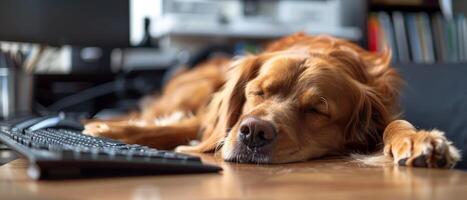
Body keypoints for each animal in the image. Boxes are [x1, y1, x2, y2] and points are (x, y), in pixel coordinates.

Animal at [83, 33, 460, 168]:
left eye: (316, 109)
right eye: (257, 92)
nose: (253, 132)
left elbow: (394, 124)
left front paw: (419, 141)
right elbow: (187, 129)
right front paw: (106, 130)